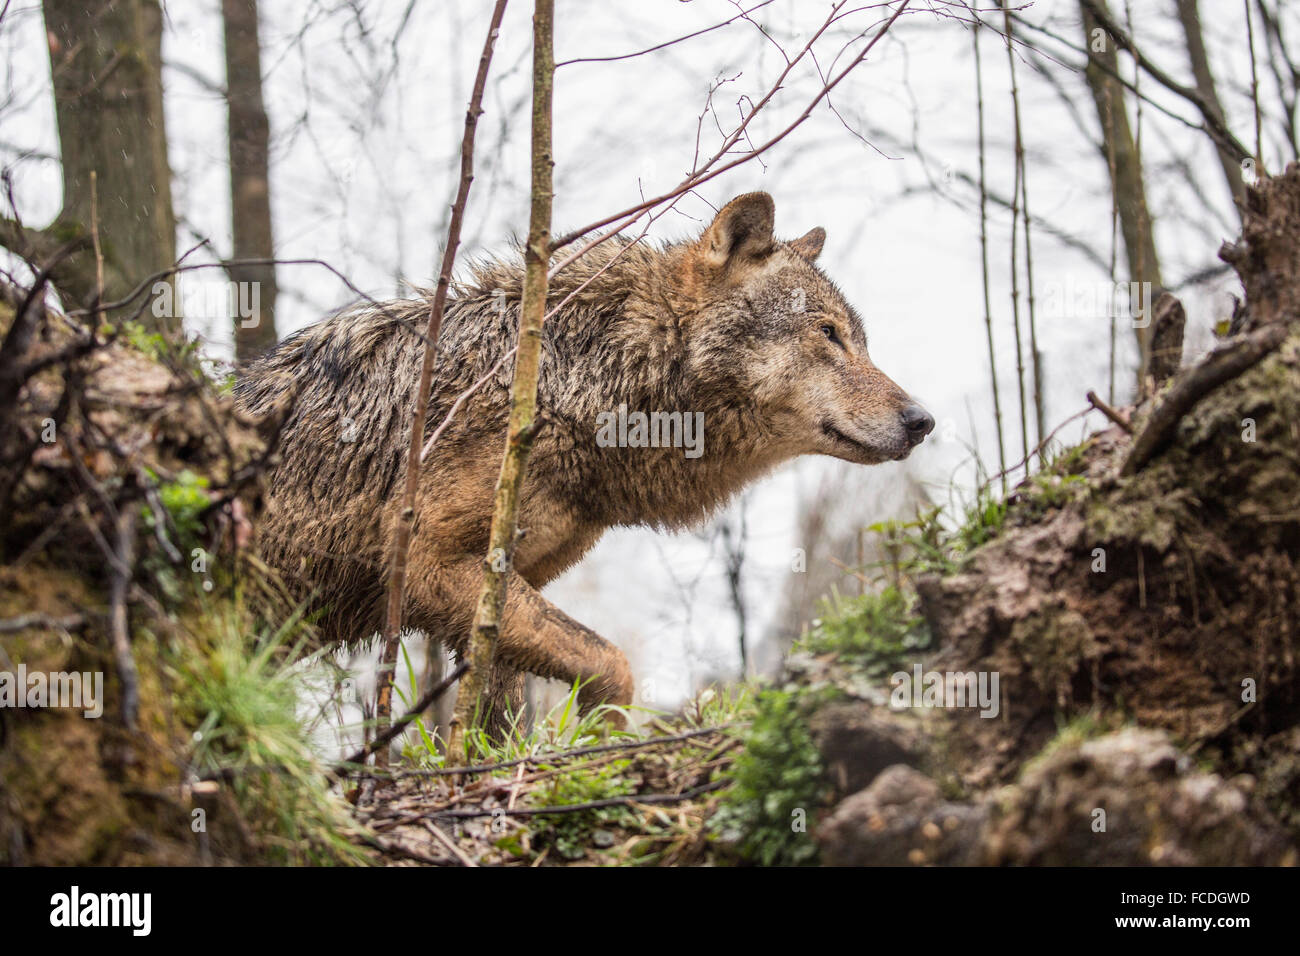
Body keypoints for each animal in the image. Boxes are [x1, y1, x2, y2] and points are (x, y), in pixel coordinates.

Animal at [237, 192, 934, 715]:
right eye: (828, 334)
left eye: (859, 339)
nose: (923, 421)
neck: (580, 378)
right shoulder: (434, 567)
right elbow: (613, 665)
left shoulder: (500, 597)